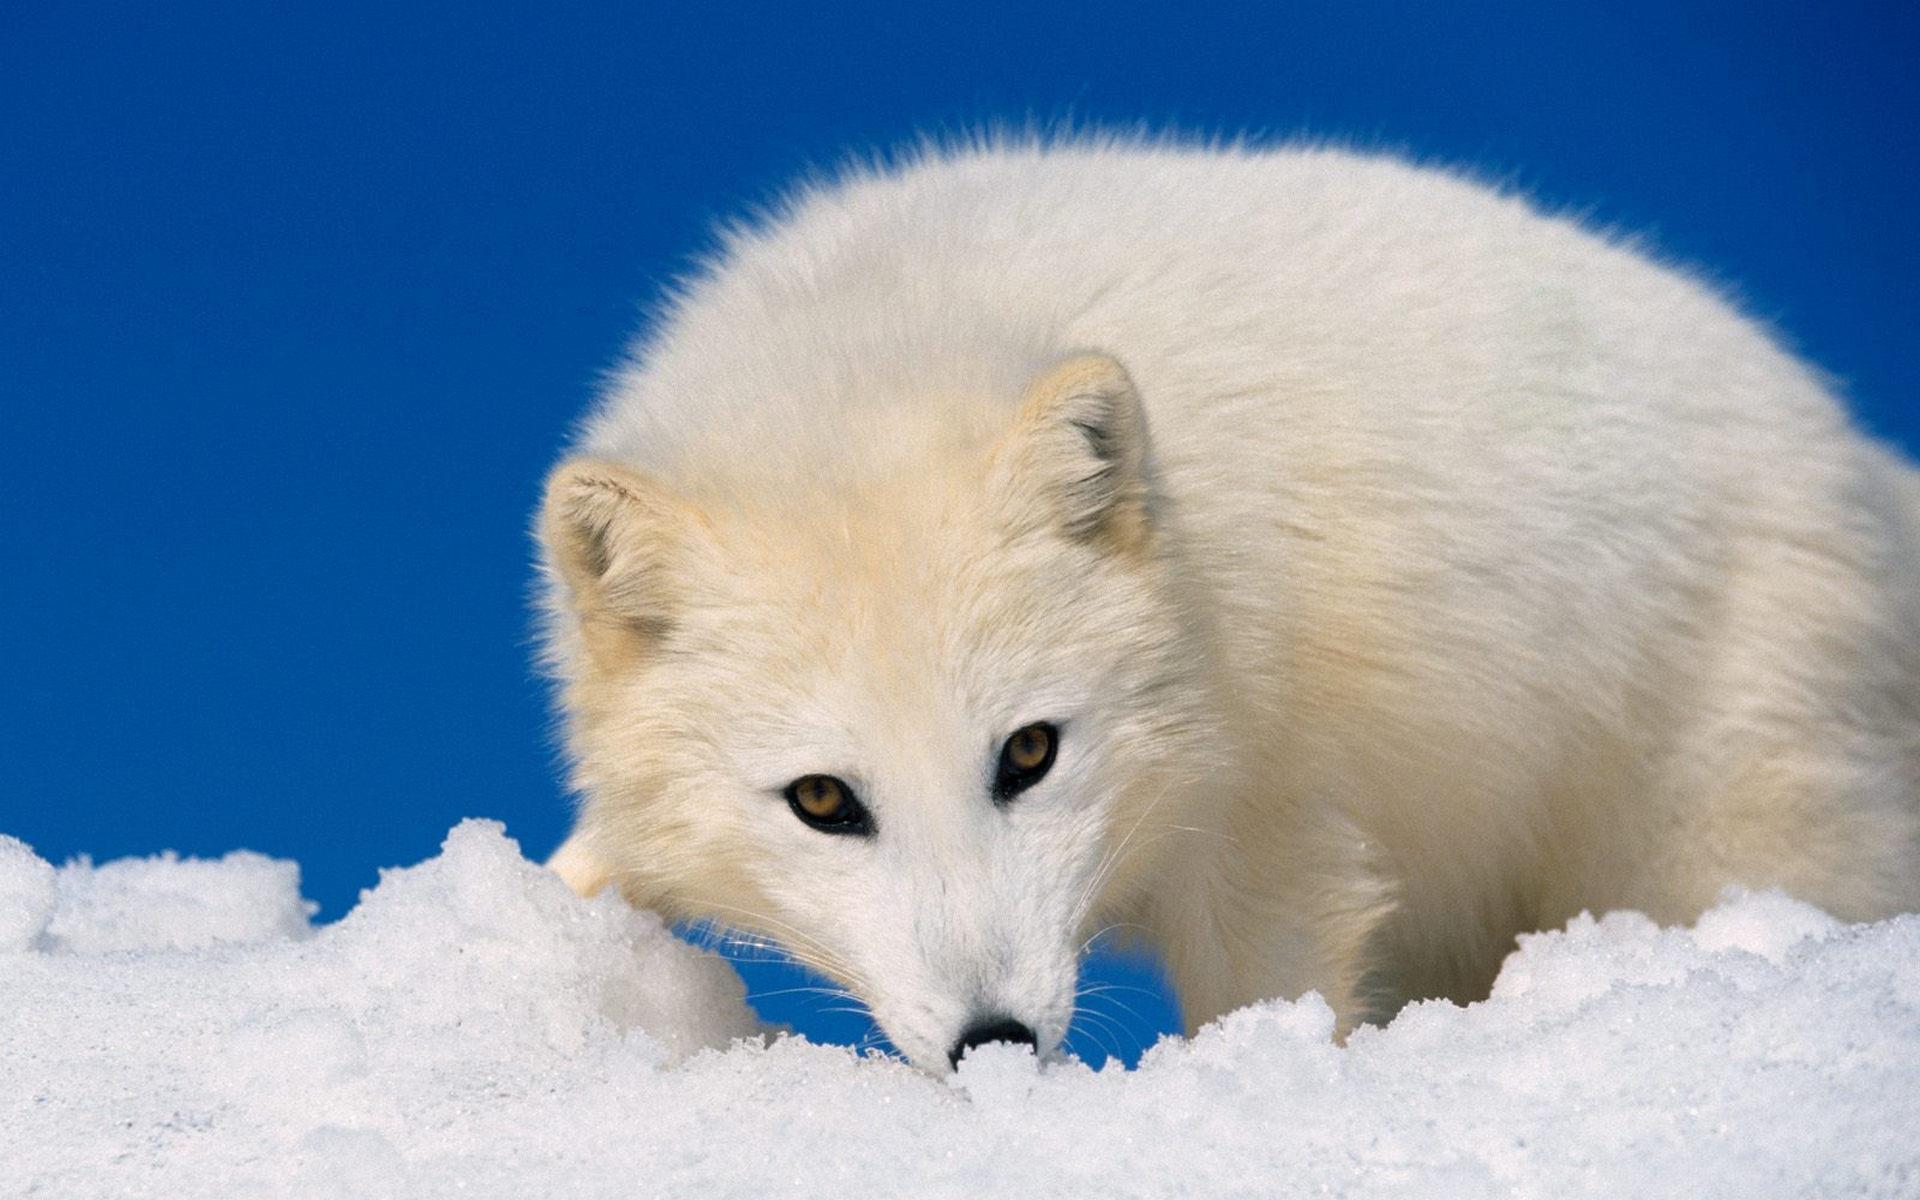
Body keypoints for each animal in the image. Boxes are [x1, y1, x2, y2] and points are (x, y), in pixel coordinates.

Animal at [537, 138, 1920, 1067]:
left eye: (1029, 753)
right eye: (823, 801)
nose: (994, 1042)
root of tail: (1860, 460)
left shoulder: (1275, 830)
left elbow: (1275, 999)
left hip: (1718, 839)